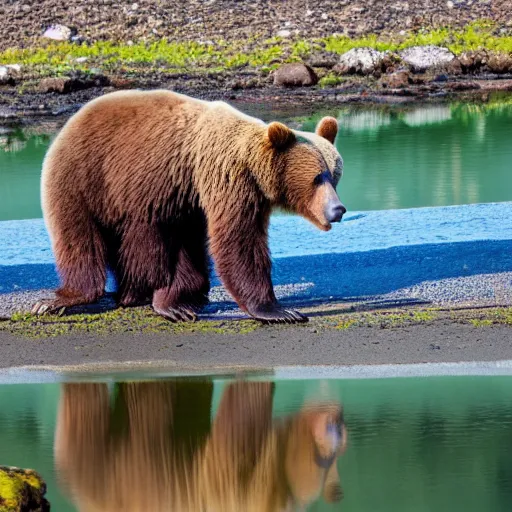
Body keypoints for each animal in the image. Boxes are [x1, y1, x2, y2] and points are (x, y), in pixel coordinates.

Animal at [31, 90, 344, 324]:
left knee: (164, 240)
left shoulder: (199, 188)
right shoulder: (227, 179)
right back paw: (64, 298)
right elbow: (238, 242)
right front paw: (279, 311)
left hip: (157, 195)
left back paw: (152, 297)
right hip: (86, 176)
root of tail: (73, 119)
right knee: (81, 239)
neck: (253, 169)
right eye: (317, 178)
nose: (338, 209)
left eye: (334, 175)